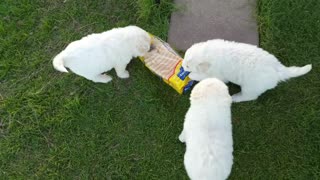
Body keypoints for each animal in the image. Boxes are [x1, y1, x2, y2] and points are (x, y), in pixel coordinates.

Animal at [182, 39, 312, 102]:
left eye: (188, 66)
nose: (182, 67)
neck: (211, 53)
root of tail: (278, 69)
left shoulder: (218, 75)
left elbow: (203, 76)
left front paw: (192, 75)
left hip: (251, 88)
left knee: (249, 97)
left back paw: (235, 98)